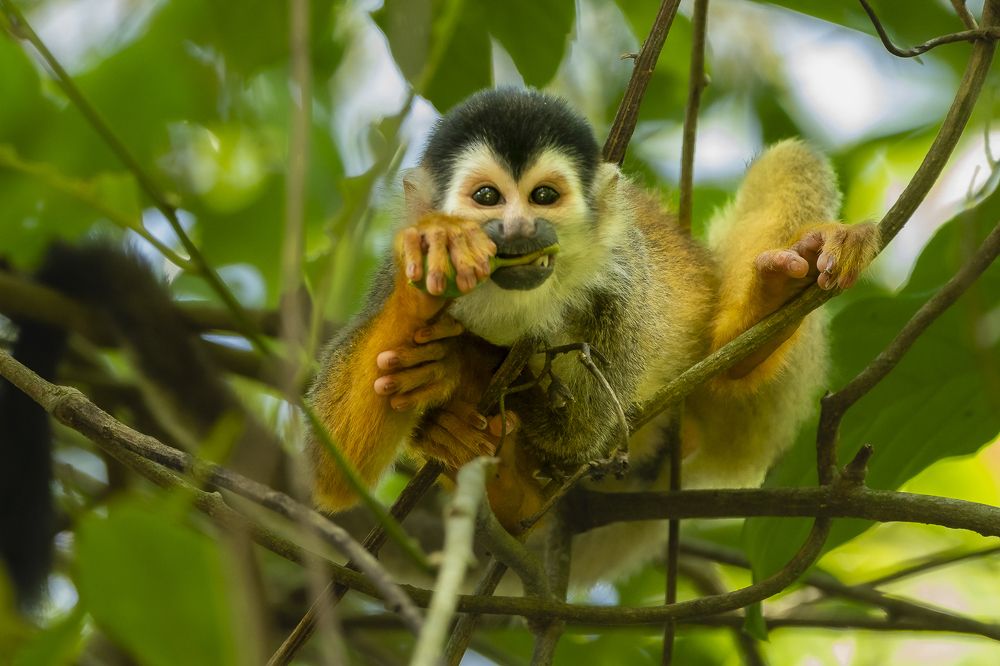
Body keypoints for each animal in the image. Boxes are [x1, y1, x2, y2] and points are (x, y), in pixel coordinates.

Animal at [307, 87, 879, 586]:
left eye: (543, 197)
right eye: (488, 198)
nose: (519, 230)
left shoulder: (620, 283)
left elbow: (582, 432)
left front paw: (458, 364)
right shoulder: (388, 275)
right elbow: (333, 469)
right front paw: (433, 273)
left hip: (749, 416)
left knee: (794, 161)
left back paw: (766, 311)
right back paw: (496, 480)